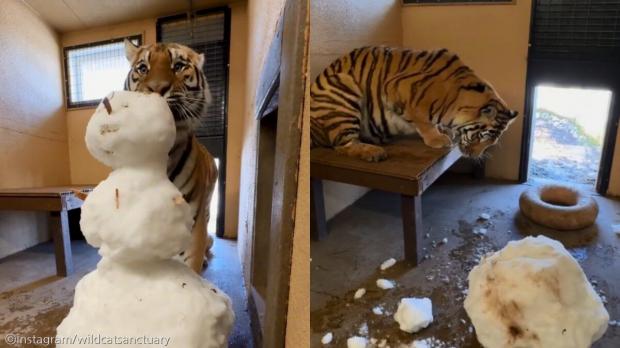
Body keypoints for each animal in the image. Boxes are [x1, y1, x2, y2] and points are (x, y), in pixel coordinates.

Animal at [310, 46, 520, 162]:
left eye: (492, 141)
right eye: (483, 137)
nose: (475, 156)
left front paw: (444, 131)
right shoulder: (396, 87)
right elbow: (423, 120)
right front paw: (437, 139)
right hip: (343, 86)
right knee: (341, 144)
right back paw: (374, 152)